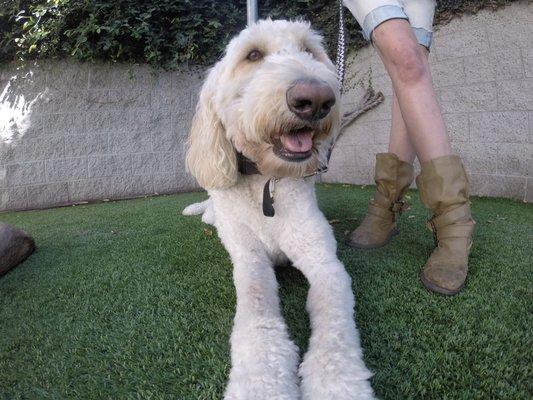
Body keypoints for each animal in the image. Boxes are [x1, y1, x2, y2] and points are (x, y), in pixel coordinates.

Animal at [183, 19, 374, 400]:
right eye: (252, 55)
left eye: (309, 50)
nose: (315, 99)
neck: (267, 183)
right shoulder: (250, 261)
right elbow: (257, 316)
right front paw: (260, 382)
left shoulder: (323, 258)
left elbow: (334, 313)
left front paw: (337, 381)